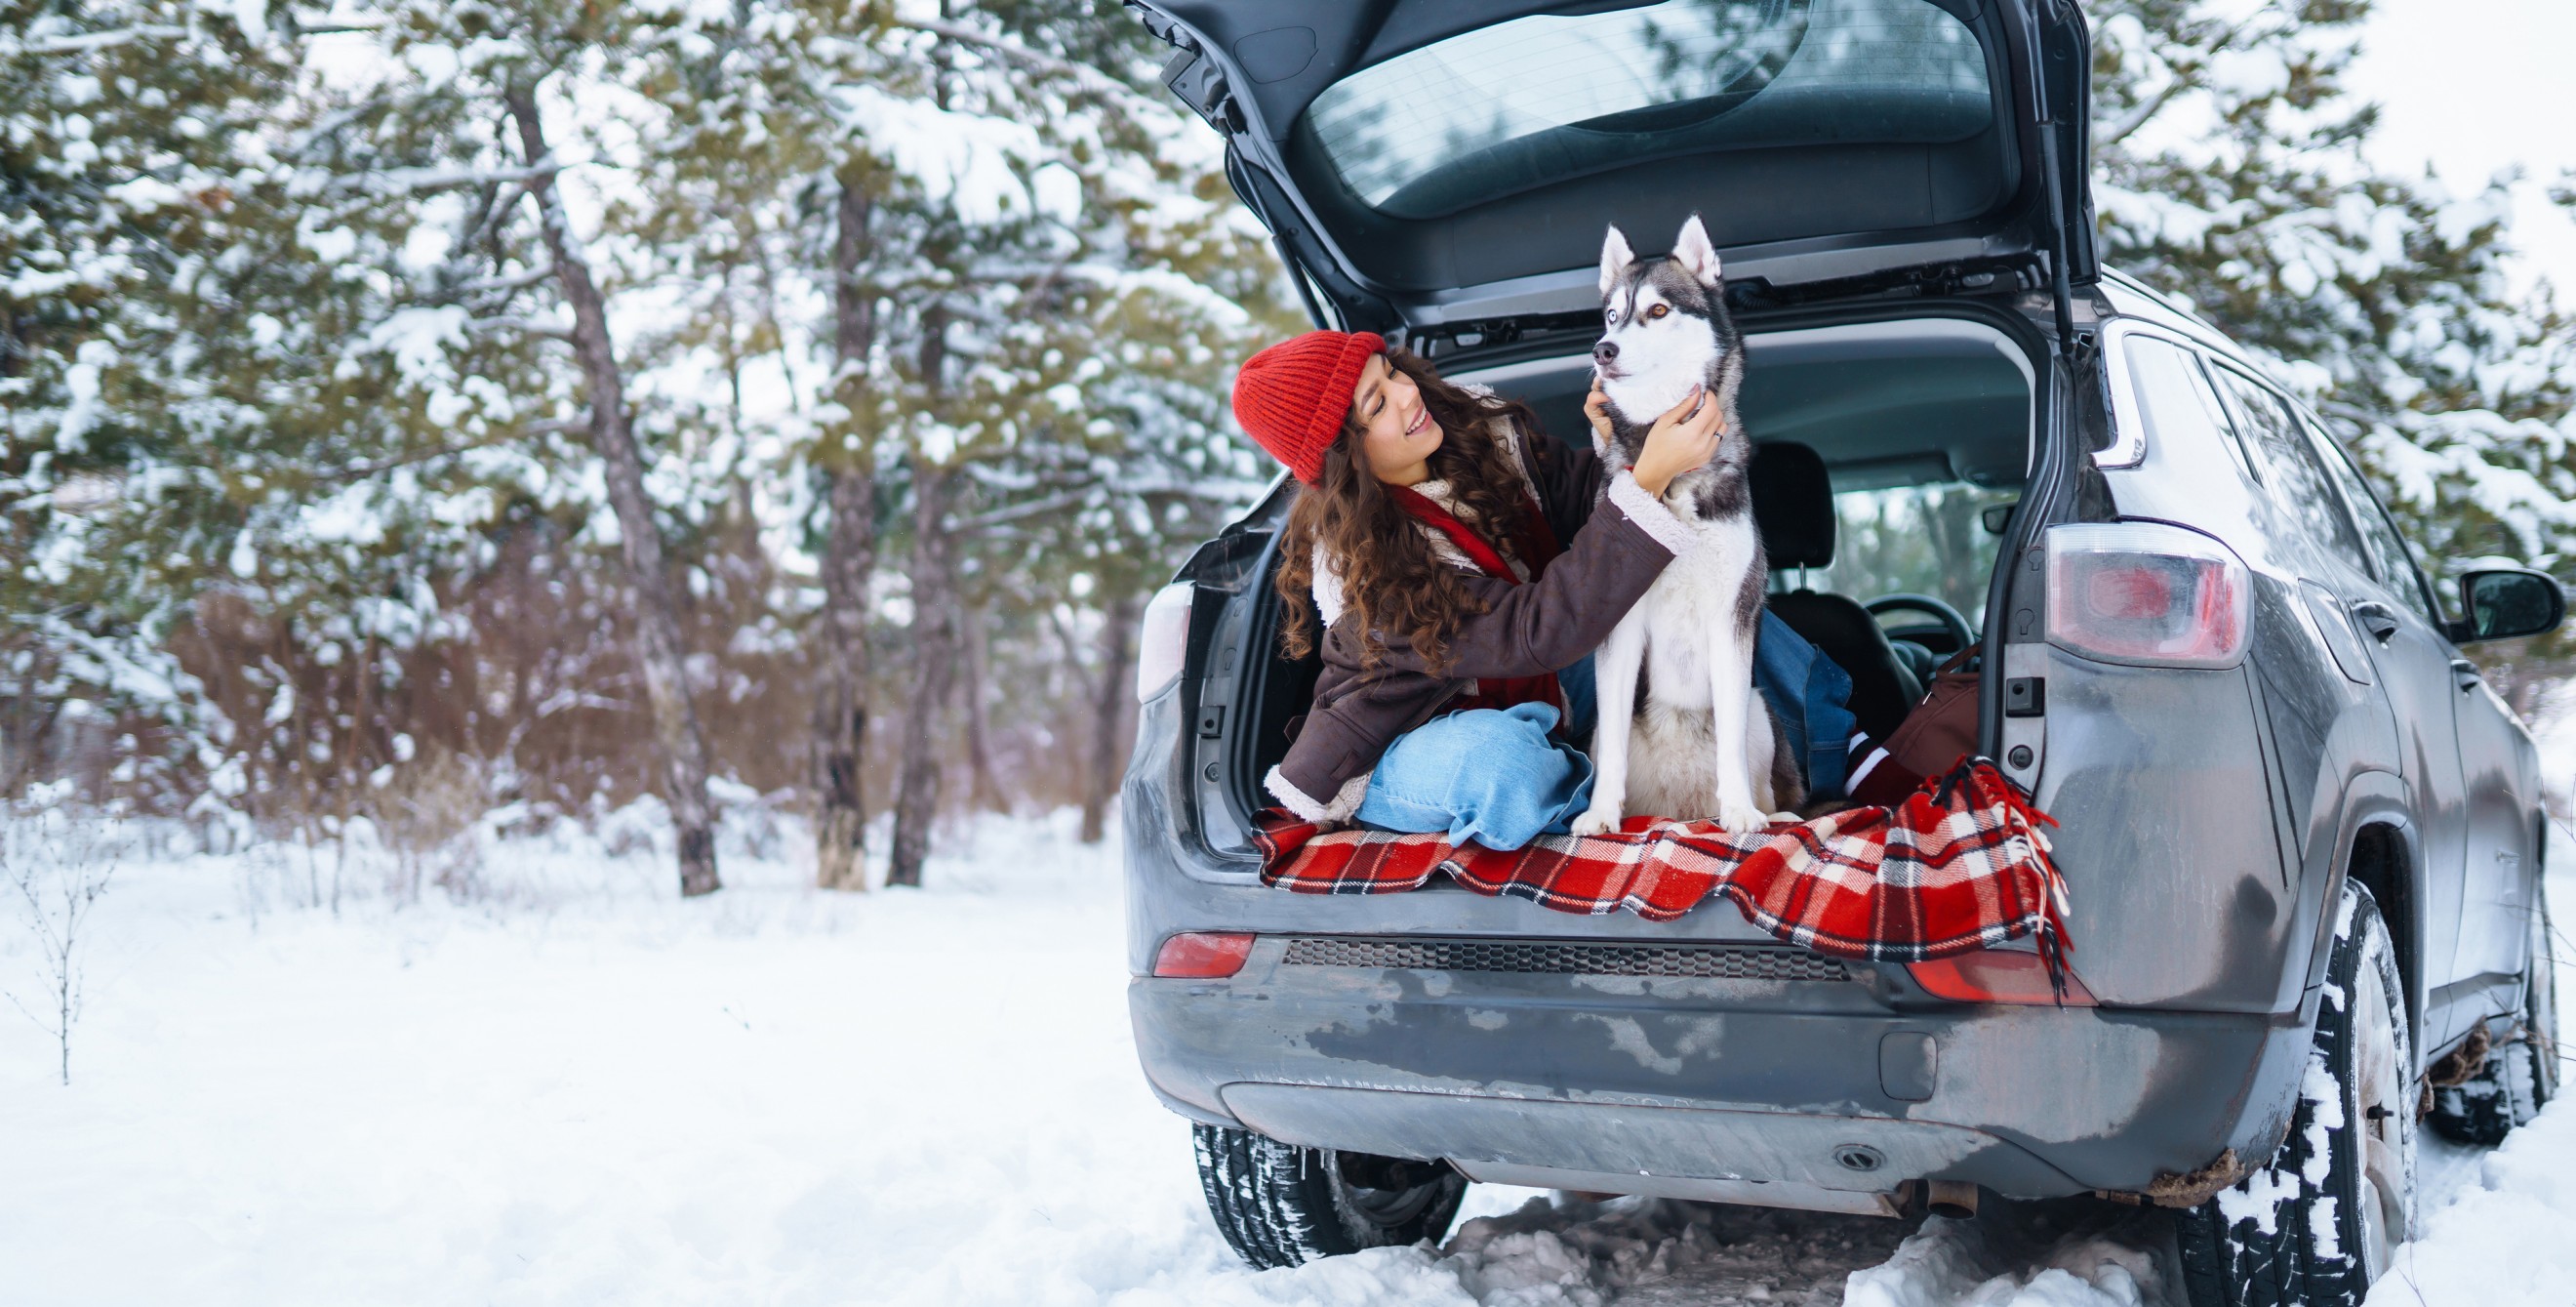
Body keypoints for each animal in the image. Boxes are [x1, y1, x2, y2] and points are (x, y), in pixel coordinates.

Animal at [1566, 210, 1792, 835]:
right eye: (1612, 314)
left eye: (1659, 311)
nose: (1603, 350)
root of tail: (1681, 809)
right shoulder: (1618, 628)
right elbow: (1614, 746)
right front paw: (1601, 815)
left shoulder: (1732, 618)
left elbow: (1731, 745)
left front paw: (1738, 813)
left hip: (1761, 708)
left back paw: (1770, 813)